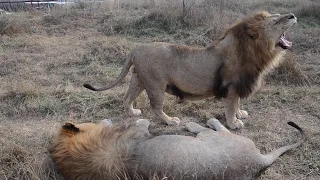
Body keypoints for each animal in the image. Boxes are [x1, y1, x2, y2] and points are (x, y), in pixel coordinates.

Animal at [83, 11, 298, 129]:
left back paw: (133, 112)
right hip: (155, 84)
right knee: (156, 107)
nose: (293, 16)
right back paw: (170, 121)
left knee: (126, 98)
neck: (257, 51)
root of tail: (136, 48)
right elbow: (230, 107)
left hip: (139, 79)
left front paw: (240, 114)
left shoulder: (238, 86)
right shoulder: (232, 87)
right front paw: (233, 123)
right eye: (276, 21)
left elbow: (237, 104)